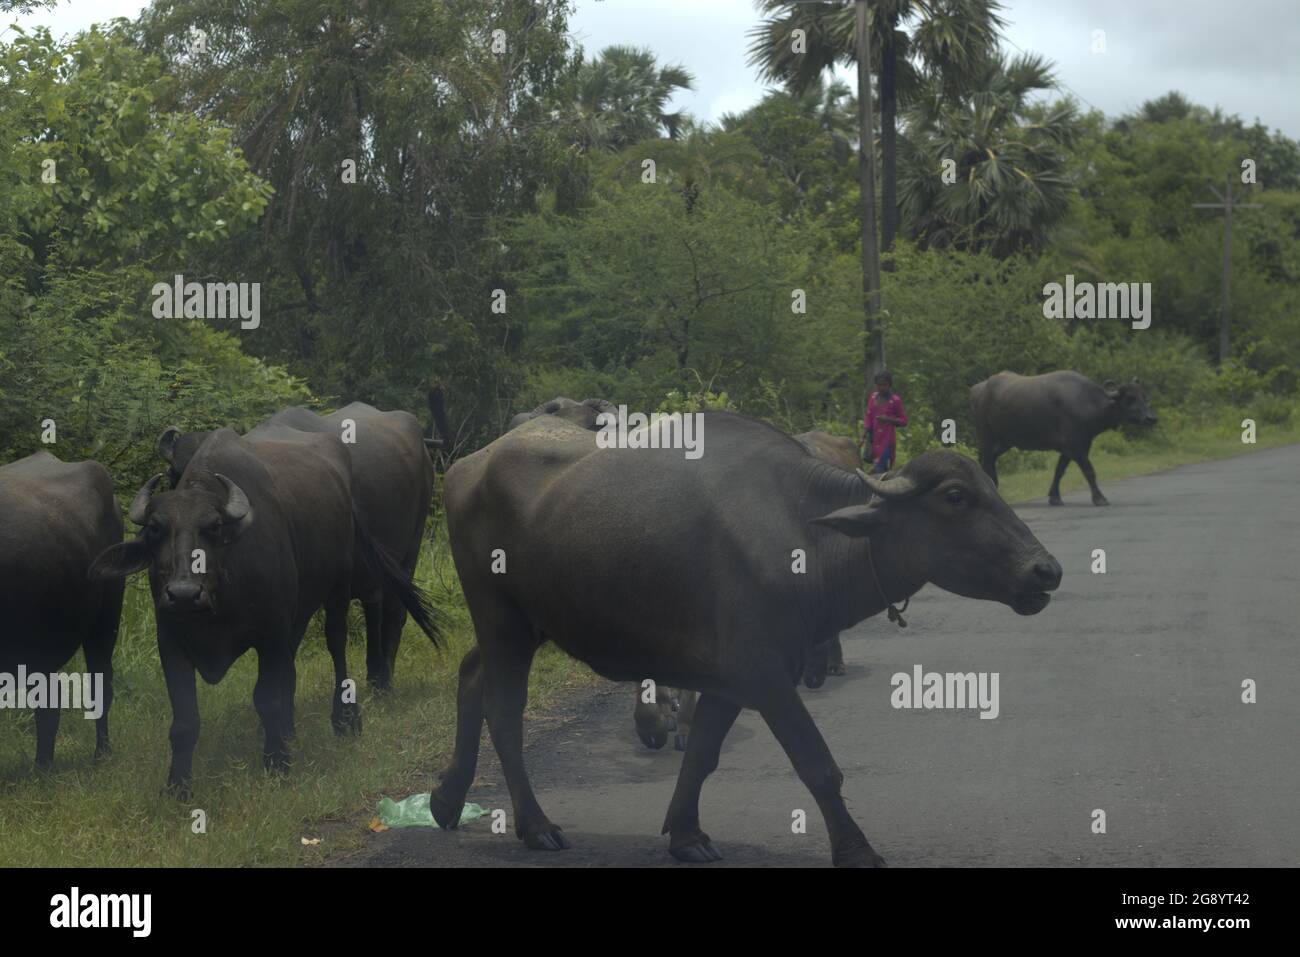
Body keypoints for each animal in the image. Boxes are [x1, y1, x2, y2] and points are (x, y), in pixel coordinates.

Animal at [90, 426, 441, 790]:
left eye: (214, 527)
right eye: (156, 530)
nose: (184, 594)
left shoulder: (270, 633)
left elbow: (266, 698)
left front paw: (277, 761)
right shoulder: (171, 641)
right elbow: (185, 718)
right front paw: (178, 784)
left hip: (340, 583)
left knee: (337, 645)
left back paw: (344, 718)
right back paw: (289, 729)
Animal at [431, 410, 1060, 868]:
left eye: (991, 489)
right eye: (955, 496)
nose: (1045, 571)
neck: (802, 532)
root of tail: (465, 467)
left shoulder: (728, 681)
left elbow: (702, 754)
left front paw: (687, 835)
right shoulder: (765, 675)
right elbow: (817, 763)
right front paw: (857, 849)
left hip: (522, 625)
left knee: (470, 674)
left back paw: (446, 800)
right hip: (502, 619)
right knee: (504, 712)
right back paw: (535, 825)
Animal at [967, 371, 1159, 509]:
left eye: (1144, 397)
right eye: (1129, 399)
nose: (1151, 418)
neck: (1088, 403)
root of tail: (978, 389)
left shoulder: (1072, 448)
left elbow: (1059, 471)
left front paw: (1055, 498)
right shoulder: (1077, 448)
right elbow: (1089, 471)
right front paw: (1100, 498)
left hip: (1003, 443)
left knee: (988, 462)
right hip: (986, 438)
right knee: (985, 462)